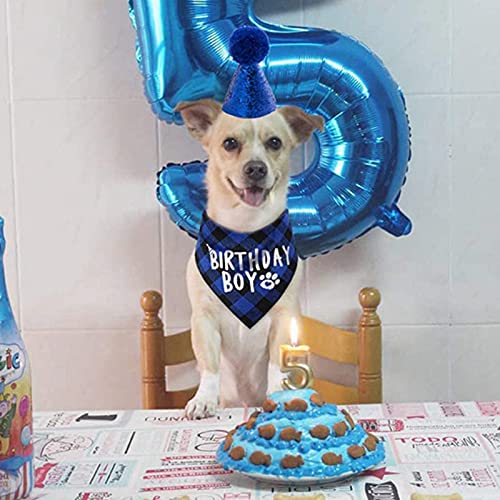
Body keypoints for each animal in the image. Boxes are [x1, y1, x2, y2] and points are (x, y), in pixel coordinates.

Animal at [177, 98, 324, 418]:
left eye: (275, 142)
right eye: (229, 143)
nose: (255, 168)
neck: (245, 239)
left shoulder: (284, 317)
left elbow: (276, 366)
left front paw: (277, 397)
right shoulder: (204, 319)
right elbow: (210, 366)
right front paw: (203, 399)